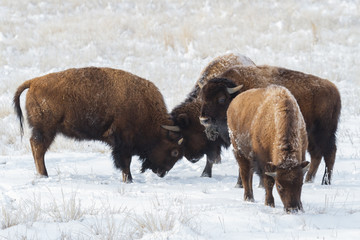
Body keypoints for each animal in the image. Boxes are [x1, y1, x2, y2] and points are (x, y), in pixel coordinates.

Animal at [13, 66, 183, 183]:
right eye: (175, 152)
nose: (162, 172)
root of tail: (34, 82)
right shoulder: (123, 142)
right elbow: (125, 162)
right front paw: (128, 180)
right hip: (46, 130)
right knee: (38, 148)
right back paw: (44, 175)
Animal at [198, 64, 342, 185]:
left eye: (221, 99)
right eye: (203, 98)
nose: (204, 119)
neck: (238, 92)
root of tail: (333, 88)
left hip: (324, 132)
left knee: (330, 152)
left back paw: (325, 182)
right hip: (310, 135)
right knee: (316, 154)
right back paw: (308, 180)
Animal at [228, 85, 310, 213]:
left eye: (301, 184)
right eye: (279, 185)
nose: (292, 209)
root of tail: (234, 103)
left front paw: (301, 207)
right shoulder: (264, 162)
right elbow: (268, 181)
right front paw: (269, 203)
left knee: (249, 174)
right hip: (239, 152)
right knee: (245, 173)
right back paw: (249, 198)